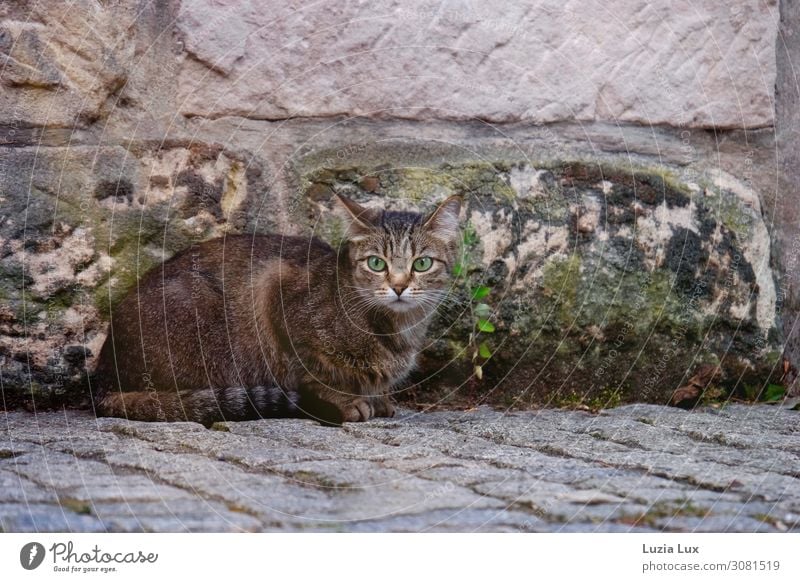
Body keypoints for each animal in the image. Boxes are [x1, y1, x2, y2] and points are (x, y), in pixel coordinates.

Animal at [90, 194, 460, 426]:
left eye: (422, 263)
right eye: (376, 263)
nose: (398, 286)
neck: (396, 329)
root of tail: (104, 375)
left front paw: (379, 398)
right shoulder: (275, 292)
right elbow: (314, 372)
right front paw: (346, 401)